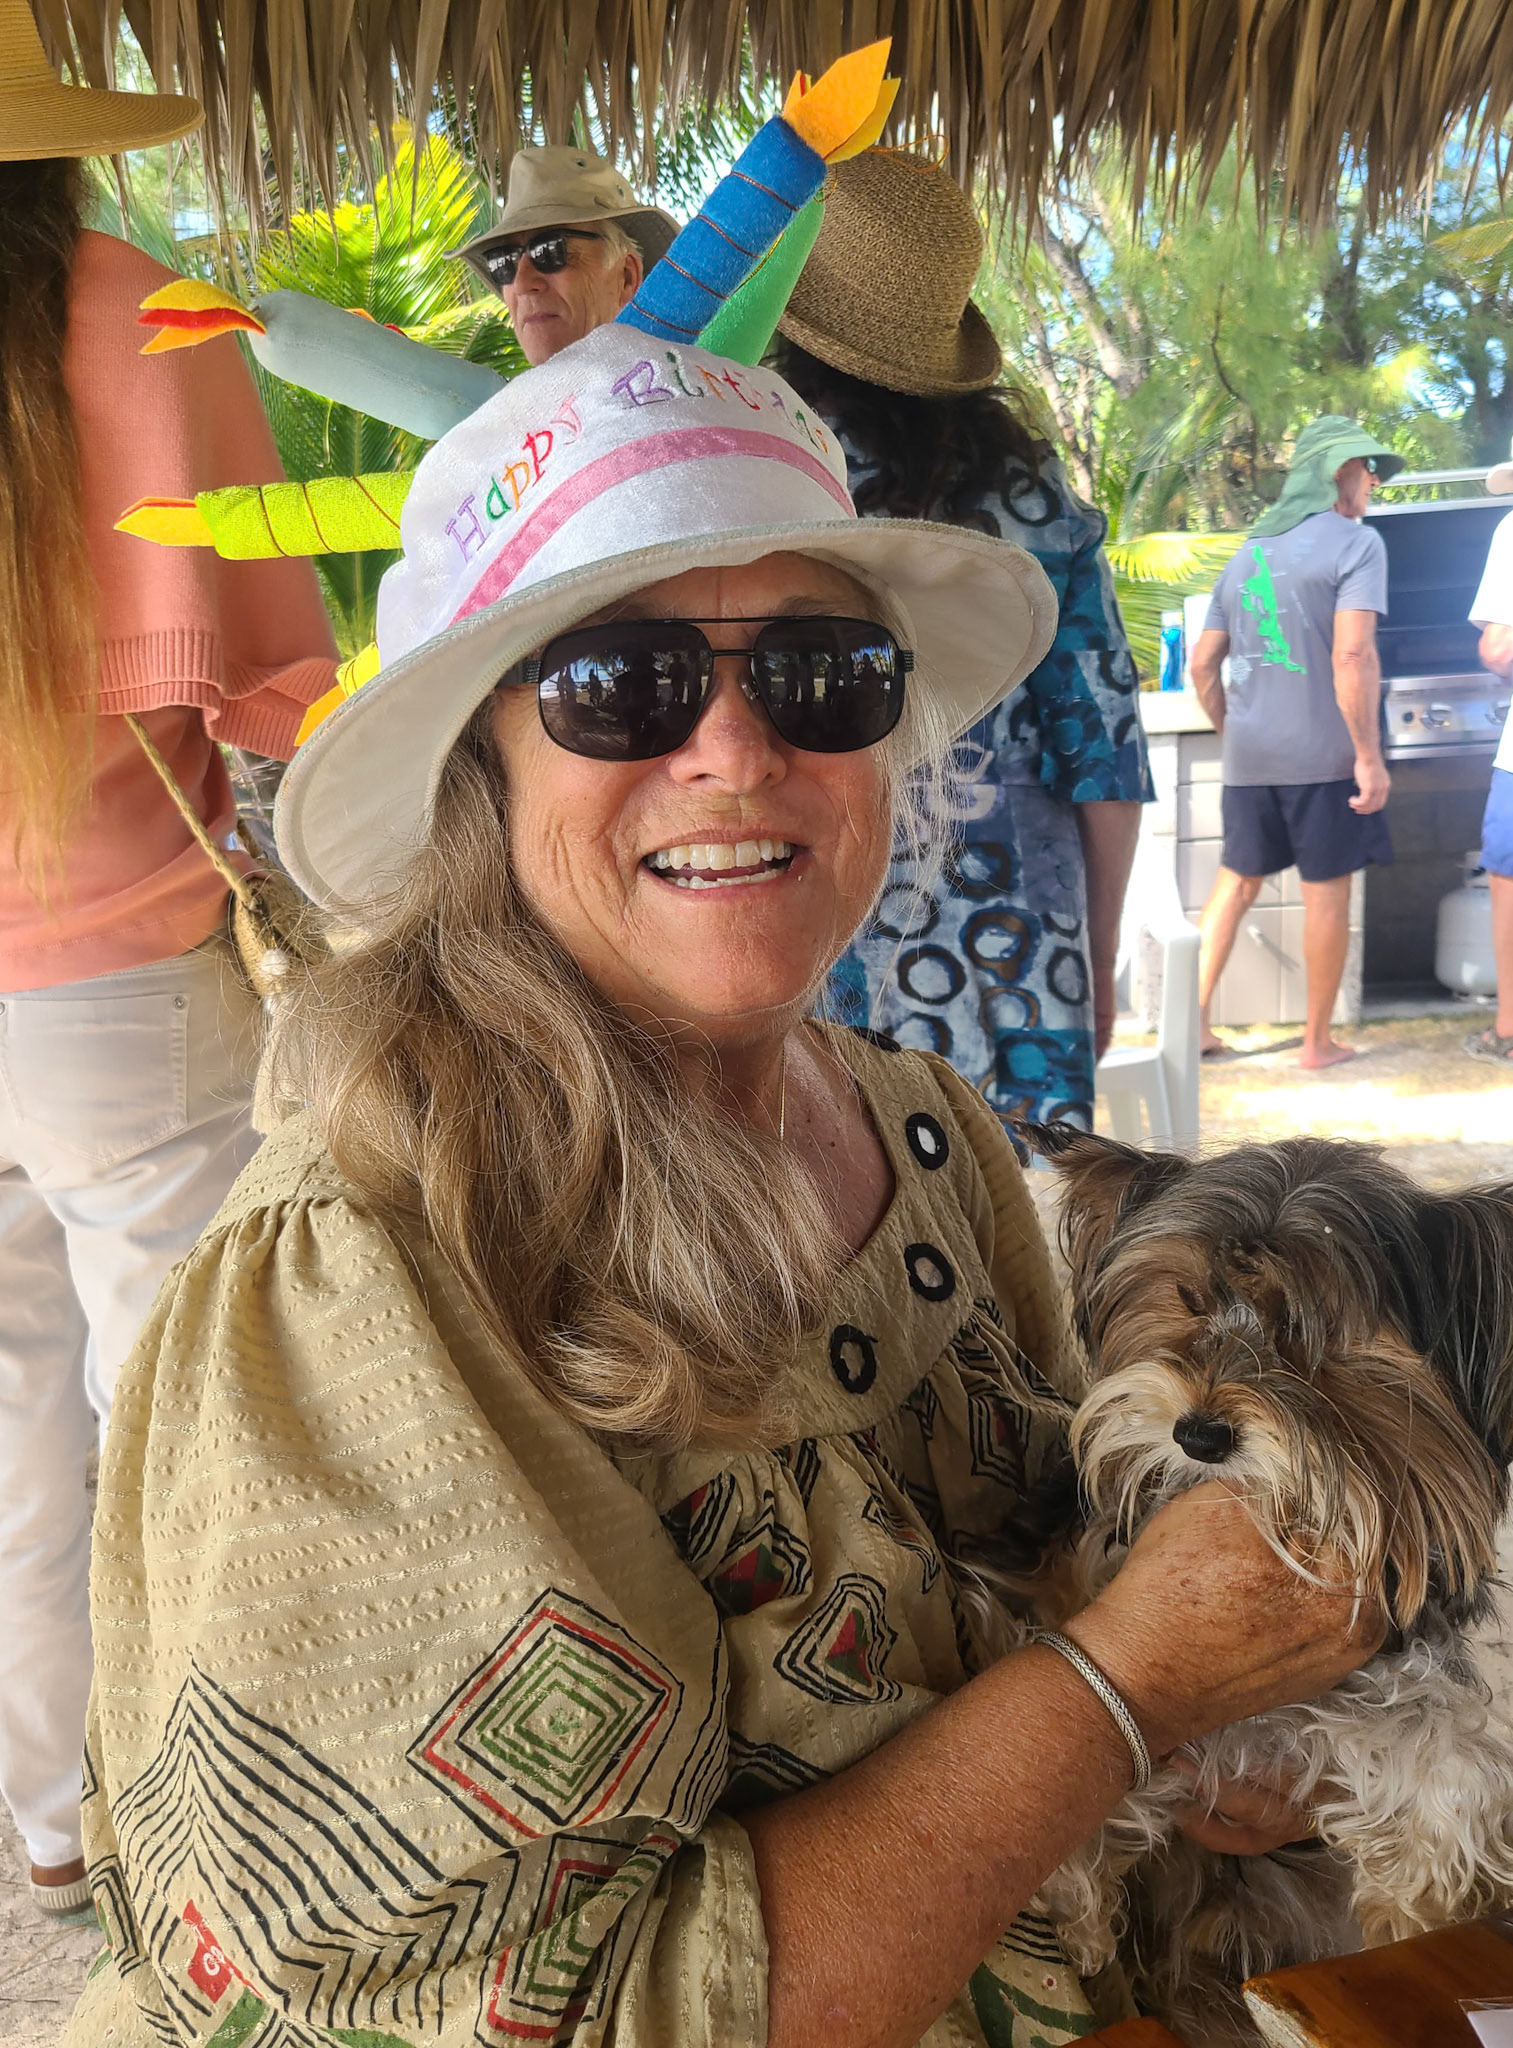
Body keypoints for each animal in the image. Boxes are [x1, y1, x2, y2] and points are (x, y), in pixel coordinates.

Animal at [1010, 1125, 1513, 2040]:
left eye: (1312, 1333)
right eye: (1186, 1298)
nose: (1199, 1435)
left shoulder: (1408, 1670)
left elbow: (1452, 1768)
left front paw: (1414, 1915)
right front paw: (1078, 1912)